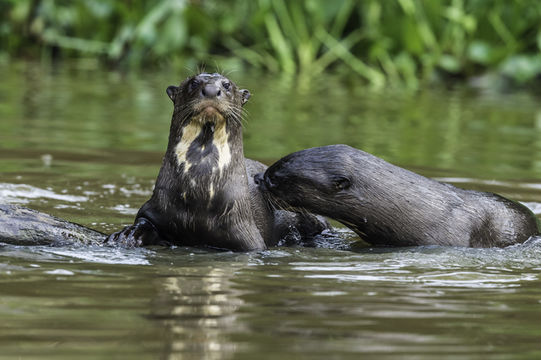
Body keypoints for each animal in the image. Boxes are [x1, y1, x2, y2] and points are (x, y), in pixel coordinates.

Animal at [103, 73, 326, 250]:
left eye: (226, 84)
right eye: (193, 82)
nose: (211, 89)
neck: (199, 195)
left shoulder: (248, 238)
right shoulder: (155, 208)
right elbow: (144, 221)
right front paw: (128, 234)